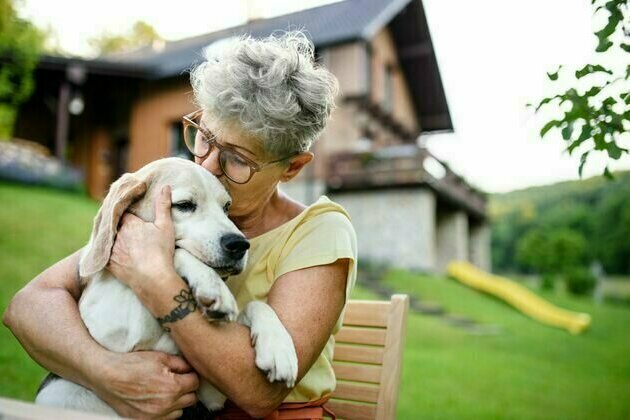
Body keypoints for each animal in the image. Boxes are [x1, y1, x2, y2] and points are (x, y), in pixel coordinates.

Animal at [36, 159, 298, 416]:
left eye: (226, 207)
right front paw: (212, 286)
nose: (240, 244)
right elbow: (174, 252)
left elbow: (256, 306)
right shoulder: (119, 333)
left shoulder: (212, 394)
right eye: (184, 205)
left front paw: (279, 349)